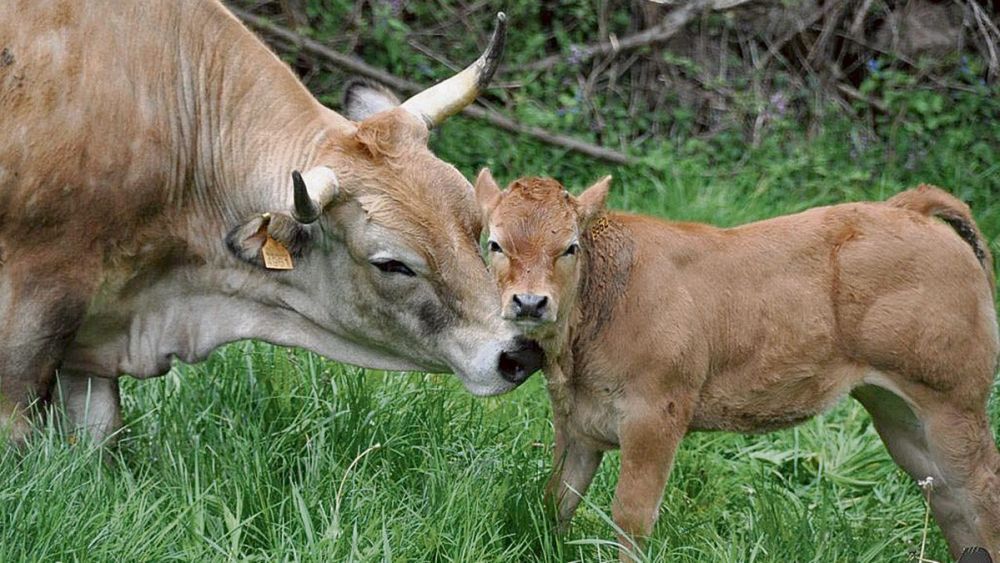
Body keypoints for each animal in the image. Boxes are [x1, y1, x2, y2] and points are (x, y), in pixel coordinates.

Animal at [474, 170, 1000, 561]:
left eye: (570, 247)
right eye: (495, 244)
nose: (529, 302)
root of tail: (905, 208)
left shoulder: (655, 416)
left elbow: (631, 516)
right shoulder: (576, 422)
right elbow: (556, 501)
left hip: (953, 403)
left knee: (981, 492)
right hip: (899, 413)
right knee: (948, 498)